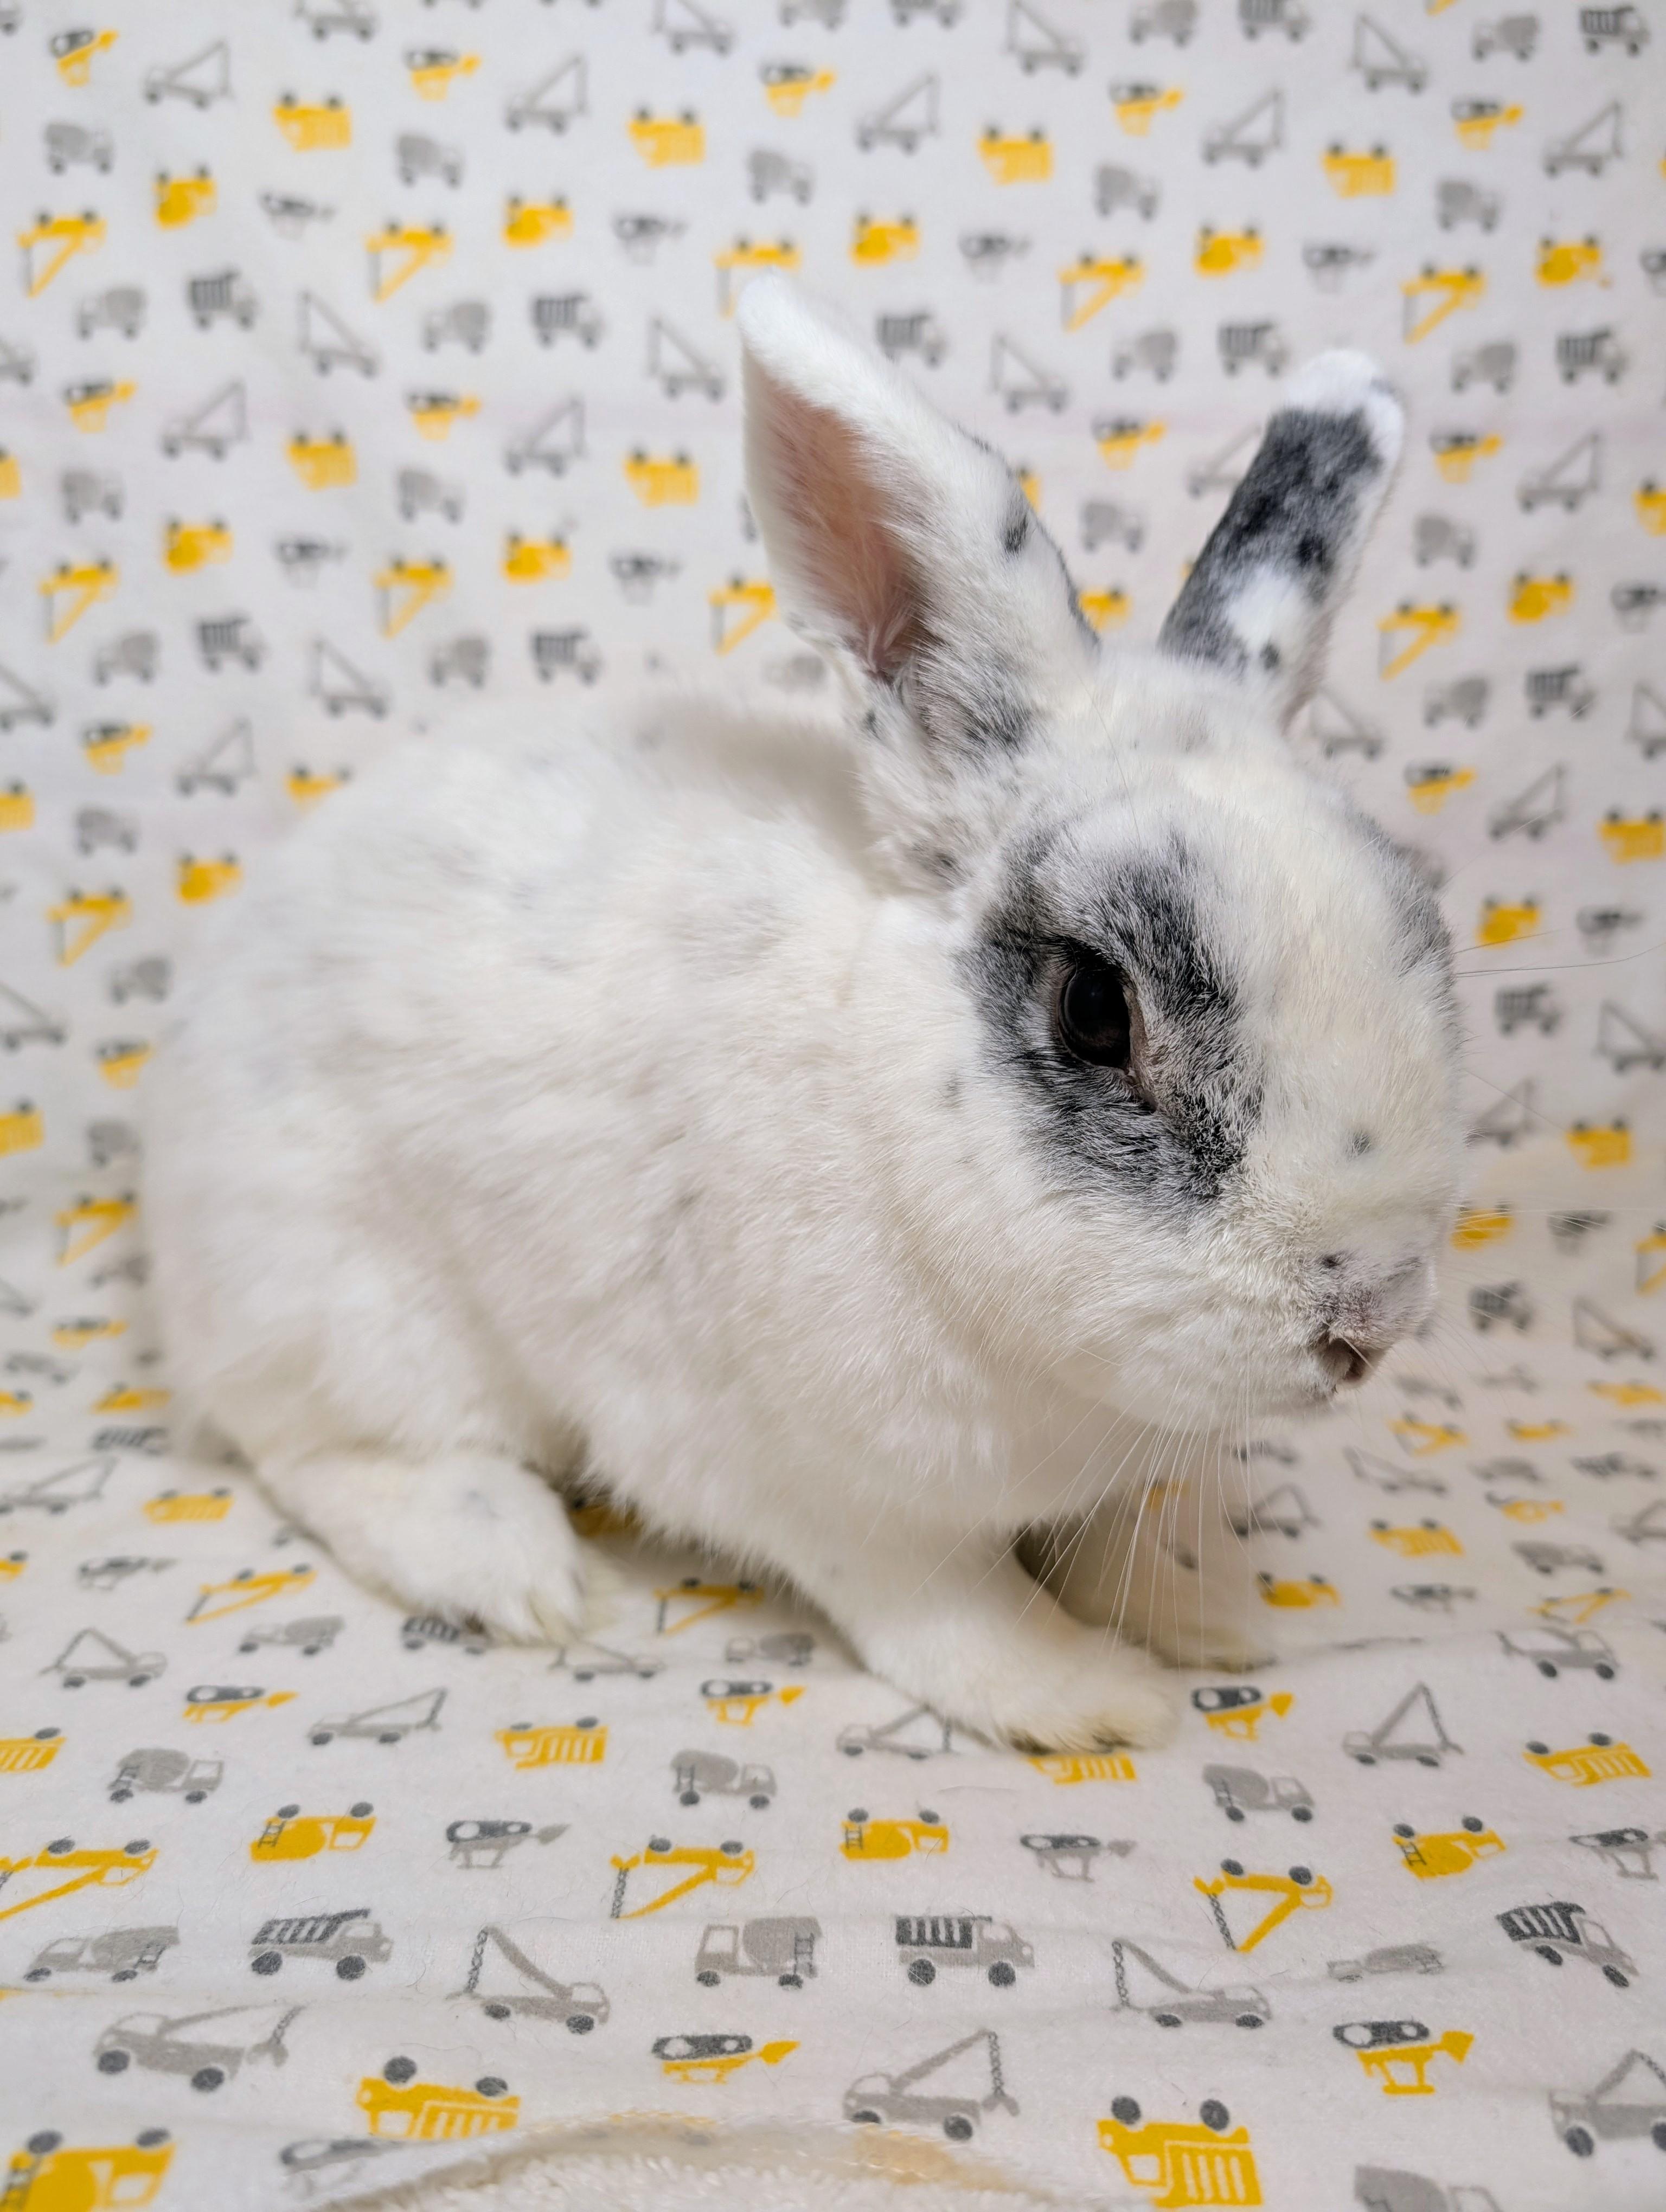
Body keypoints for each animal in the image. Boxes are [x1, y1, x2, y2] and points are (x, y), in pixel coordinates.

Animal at [142, 276, 1461, 1752]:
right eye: (1092, 1012)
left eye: (1421, 922)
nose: (1368, 1323)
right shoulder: (813, 1486)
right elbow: (942, 1608)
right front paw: (1086, 1697)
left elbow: (1127, 1533)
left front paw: (1205, 1614)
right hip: (349, 1303)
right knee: (322, 1451)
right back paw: (519, 1568)